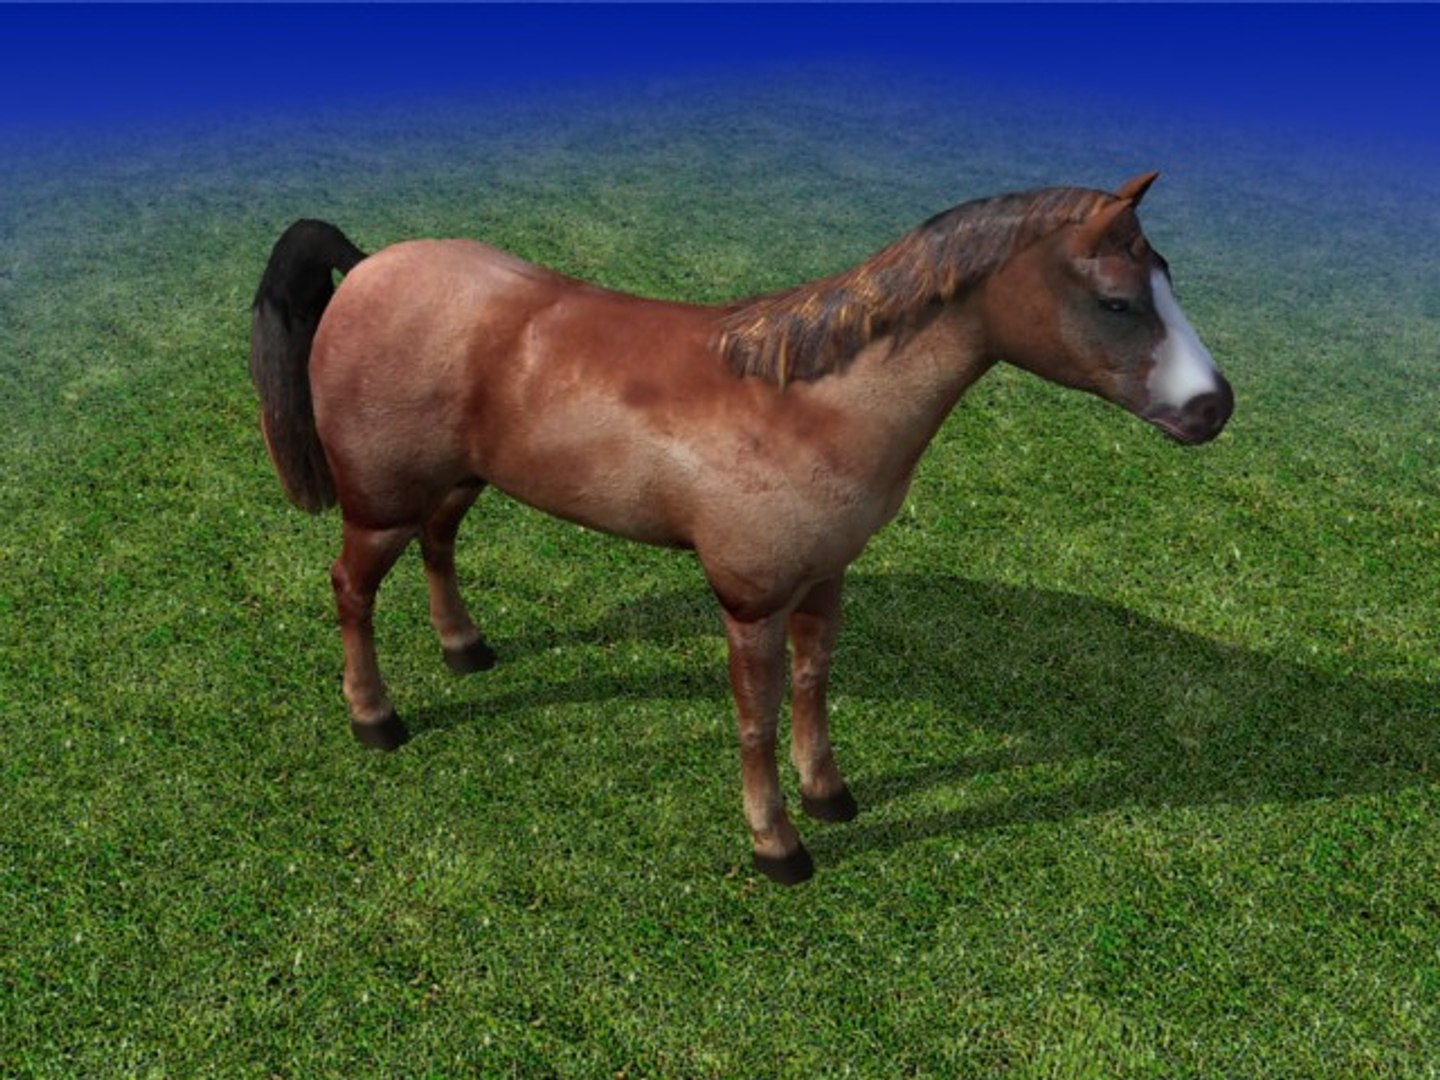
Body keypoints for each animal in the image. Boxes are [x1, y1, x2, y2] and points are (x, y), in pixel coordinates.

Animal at [249, 171, 1232, 885]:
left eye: (1169, 280)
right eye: (1116, 301)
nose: (1212, 408)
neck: (810, 403)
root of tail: (367, 265)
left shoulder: (824, 579)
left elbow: (813, 685)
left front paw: (831, 795)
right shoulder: (750, 600)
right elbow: (756, 718)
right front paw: (779, 846)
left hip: (459, 480)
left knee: (442, 546)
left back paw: (466, 651)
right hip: (379, 502)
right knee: (351, 589)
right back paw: (376, 720)